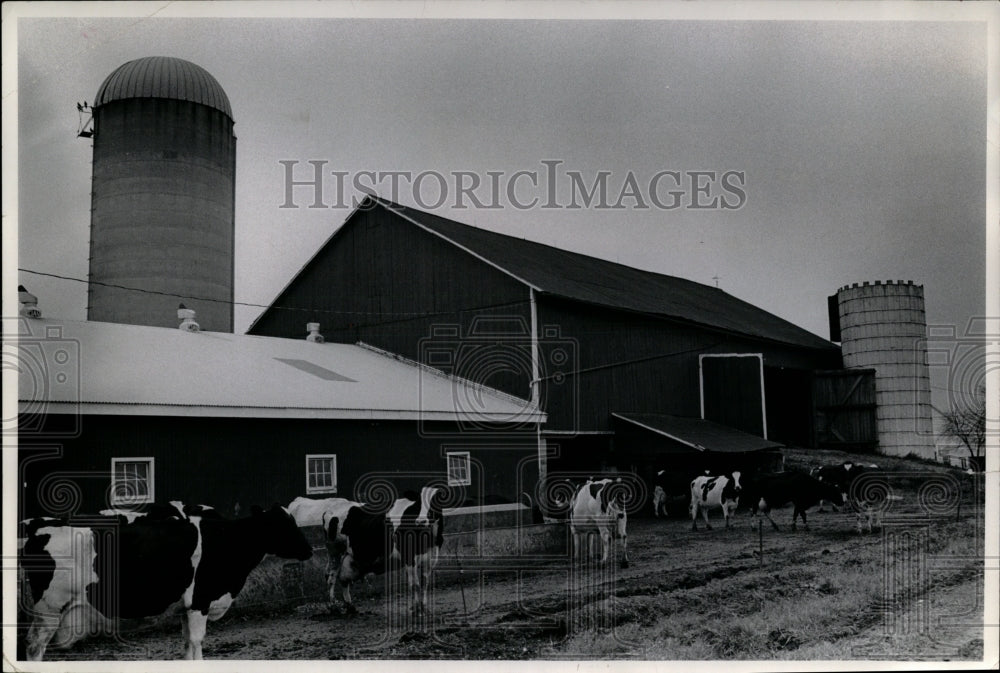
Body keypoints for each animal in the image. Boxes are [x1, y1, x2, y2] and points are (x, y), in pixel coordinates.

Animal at [21, 504, 310, 656]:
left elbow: (186, 643)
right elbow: (197, 642)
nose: (308, 549)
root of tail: (40, 530)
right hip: (49, 609)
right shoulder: (200, 601)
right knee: (35, 646)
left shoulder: (185, 607)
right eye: (283, 525)